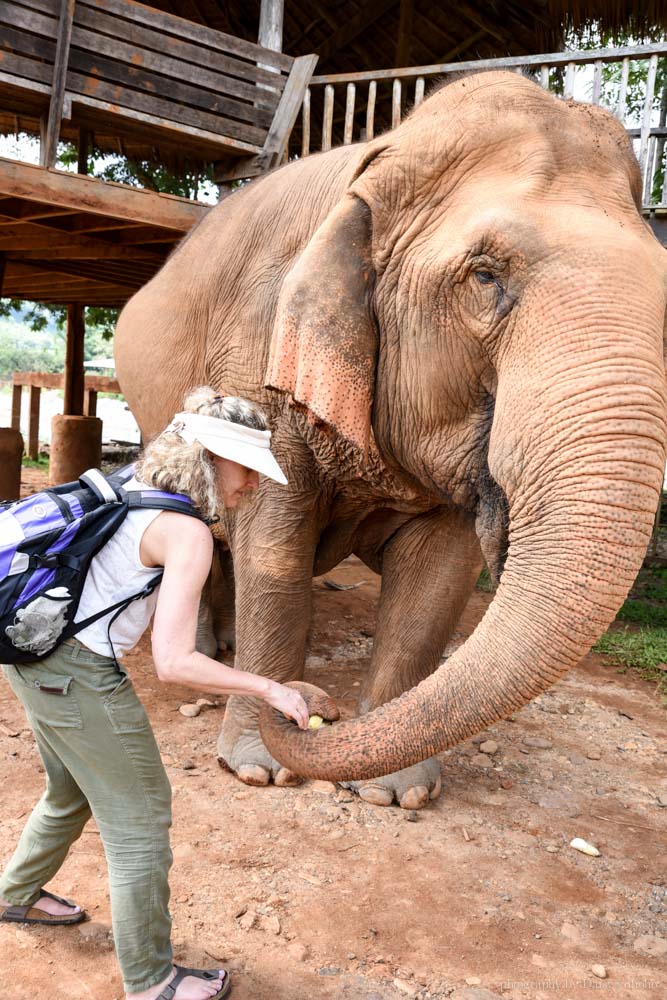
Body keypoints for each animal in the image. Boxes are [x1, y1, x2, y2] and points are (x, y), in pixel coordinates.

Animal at [117, 68, 667, 804]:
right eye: (485, 274)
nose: (311, 707)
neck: (383, 154)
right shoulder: (256, 349)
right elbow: (275, 551)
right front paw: (259, 767)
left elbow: (438, 577)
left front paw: (395, 793)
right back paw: (206, 654)